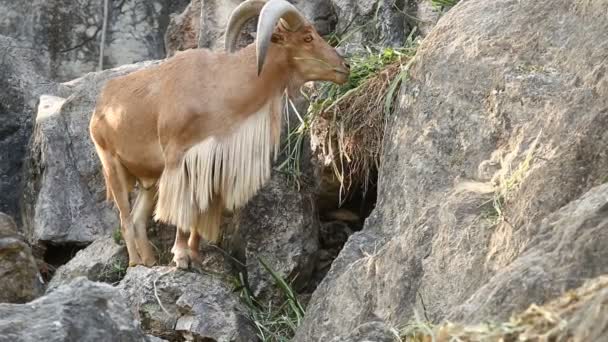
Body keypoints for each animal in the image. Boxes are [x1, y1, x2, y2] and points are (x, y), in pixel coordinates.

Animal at [88, 0, 350, 268]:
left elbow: (203, 209)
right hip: (112, 165)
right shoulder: (178, 159)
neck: (216, 87)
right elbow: (183, 210)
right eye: (307, 37)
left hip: (148, 179)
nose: (345, 67)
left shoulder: (214, 162)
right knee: (125, 218)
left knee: (139, 218)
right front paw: (181, 257)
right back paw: (135, 262)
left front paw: (195, 255)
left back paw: (149, 261)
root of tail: (101, 105)